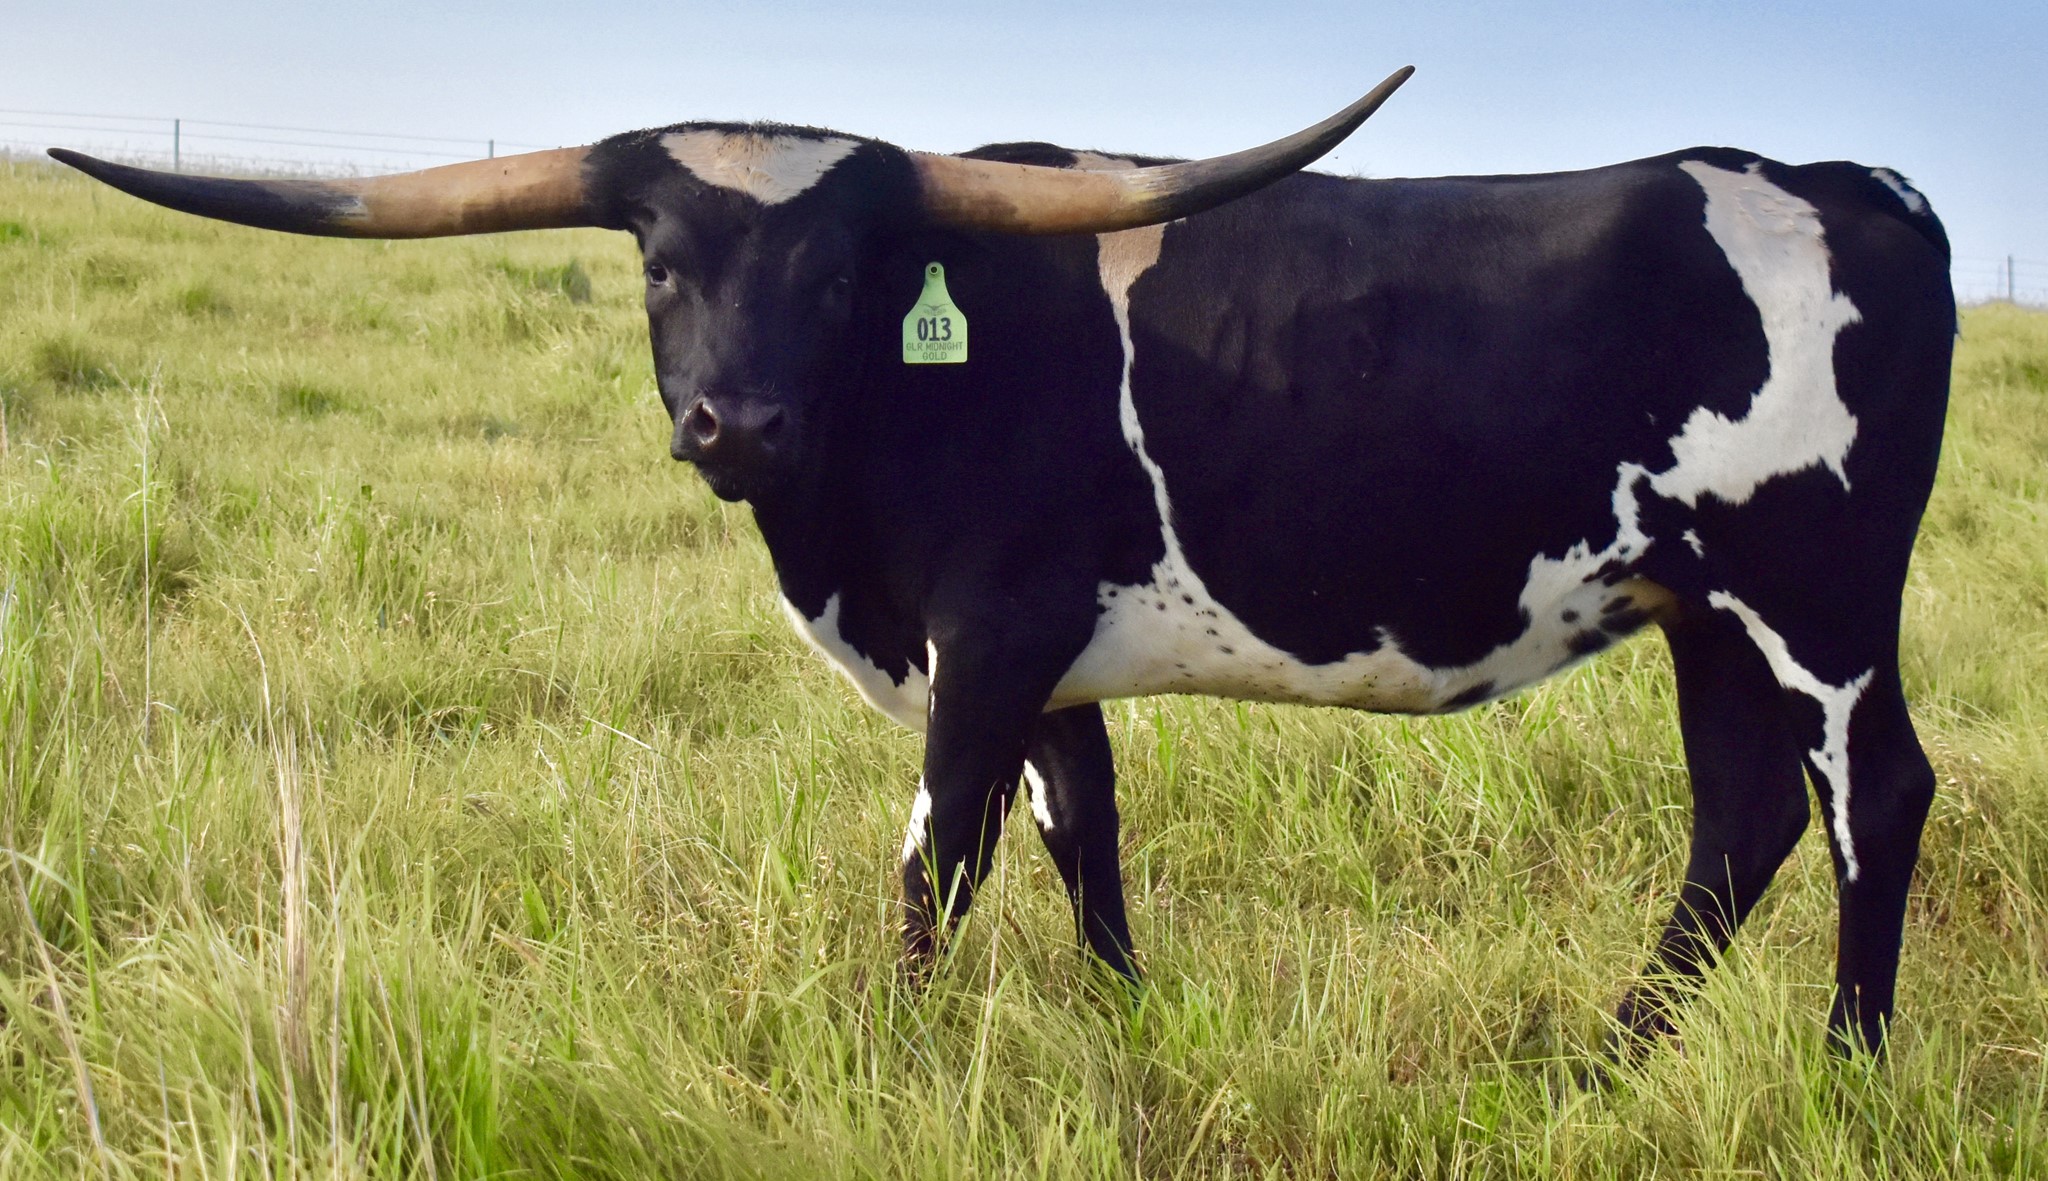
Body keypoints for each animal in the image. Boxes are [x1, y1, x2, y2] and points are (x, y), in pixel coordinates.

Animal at [51, 65, 1956, 1058]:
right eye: (661, 263)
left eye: (842, 272)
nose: (735, 425)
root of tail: (1843, 176)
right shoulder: (1050, 657)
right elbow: (1077, 838)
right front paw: (1125, 1026)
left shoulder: (983, 638)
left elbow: (937, 854)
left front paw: (883, 1053)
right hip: (1700, 609)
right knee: (1740, 819)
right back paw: (1600, 1060)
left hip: (1815, 598)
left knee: (1873, 795)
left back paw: (1842, 1069)